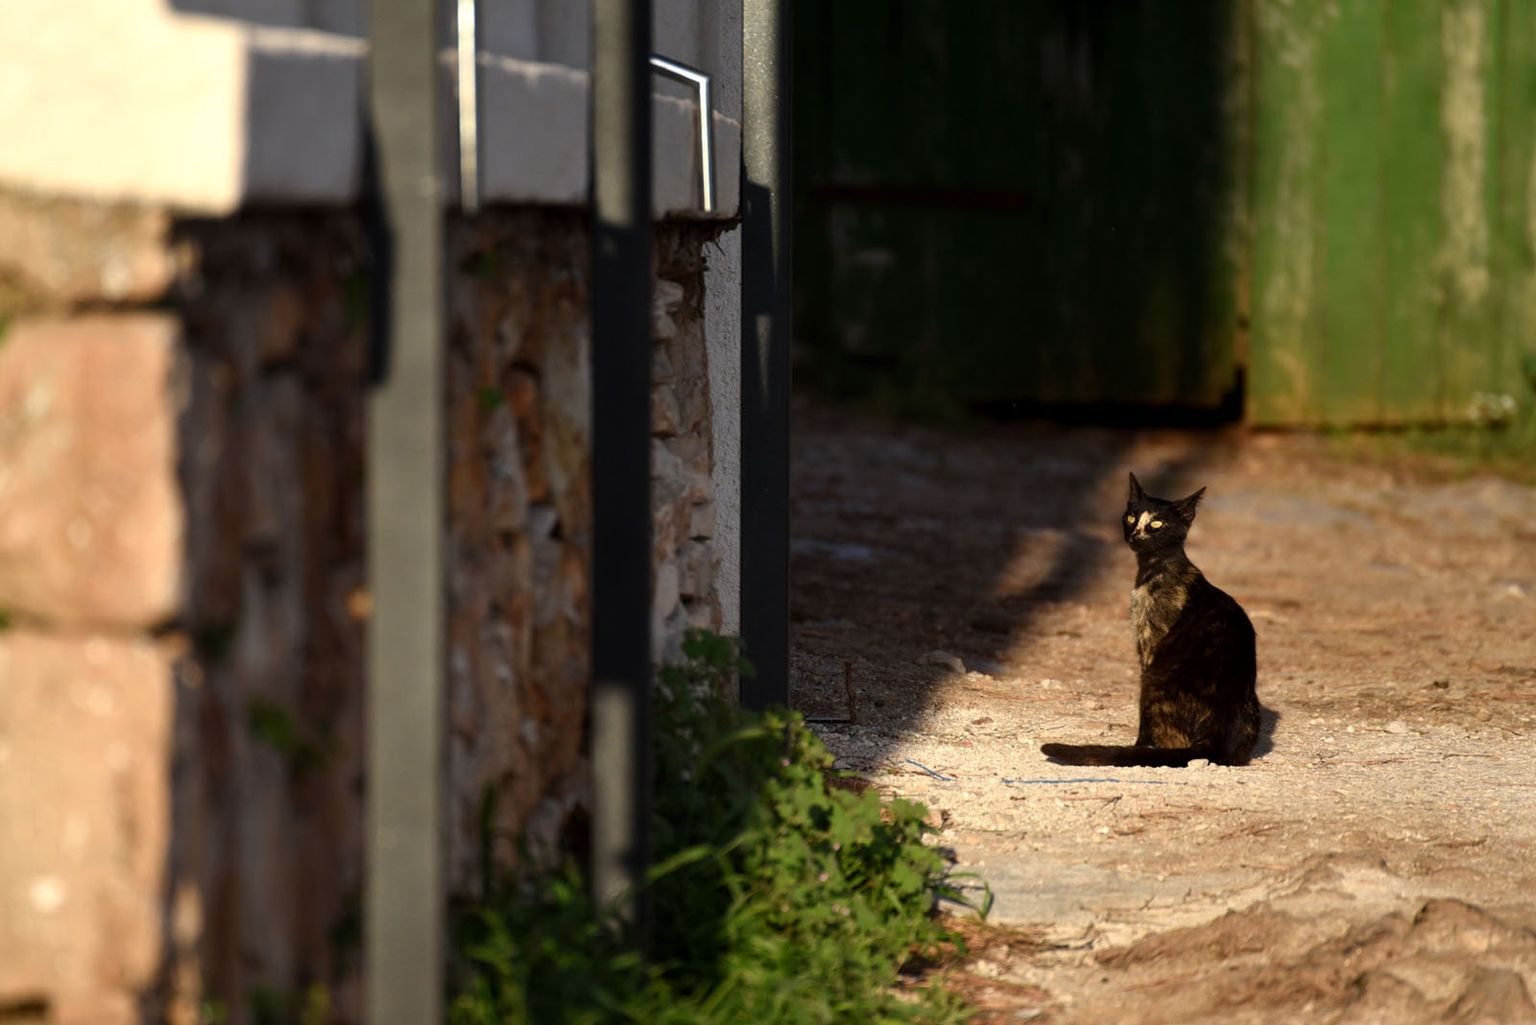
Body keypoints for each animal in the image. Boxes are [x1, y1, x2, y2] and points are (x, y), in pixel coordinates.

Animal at [1040, 472, 1260, 768]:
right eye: (1131, 517)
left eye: (1157, 523)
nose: (1134, 534)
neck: (1153, 569)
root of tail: (1215, 736)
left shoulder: (1148, 641)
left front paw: (1137, 746)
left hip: (1153, 680)